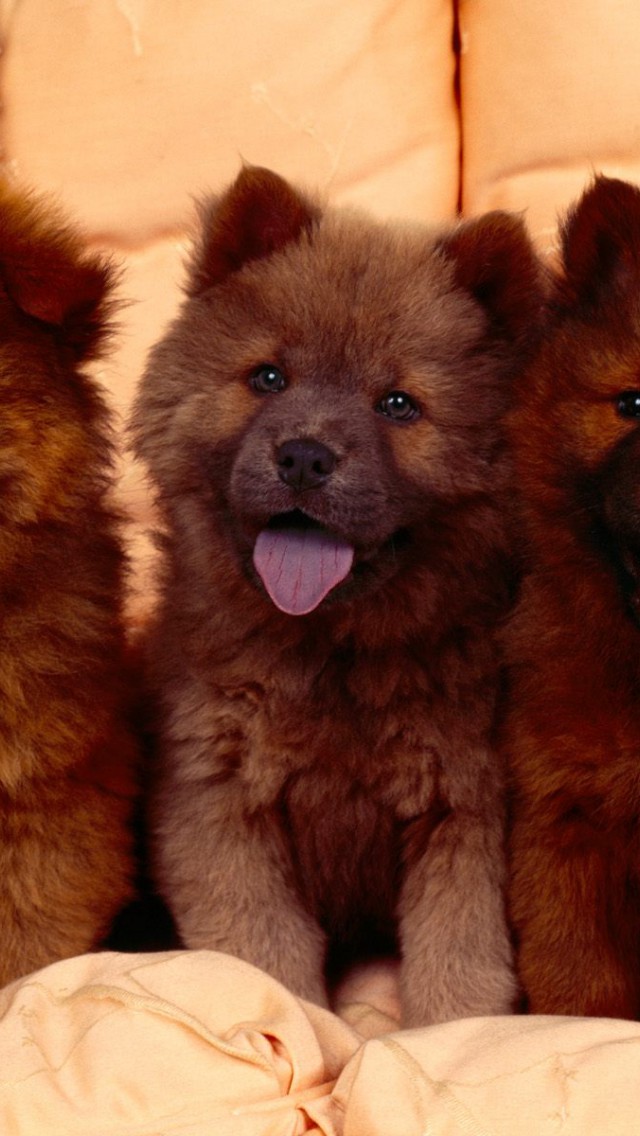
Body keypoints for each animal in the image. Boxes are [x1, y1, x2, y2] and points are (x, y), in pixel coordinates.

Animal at [133, 168, 543, 1031]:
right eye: (268, 378)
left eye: (398, 404)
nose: (304, 456)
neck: (334, 650)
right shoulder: (220, 801)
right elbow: (262, 953)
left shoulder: (465, 809)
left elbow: (459, 963)